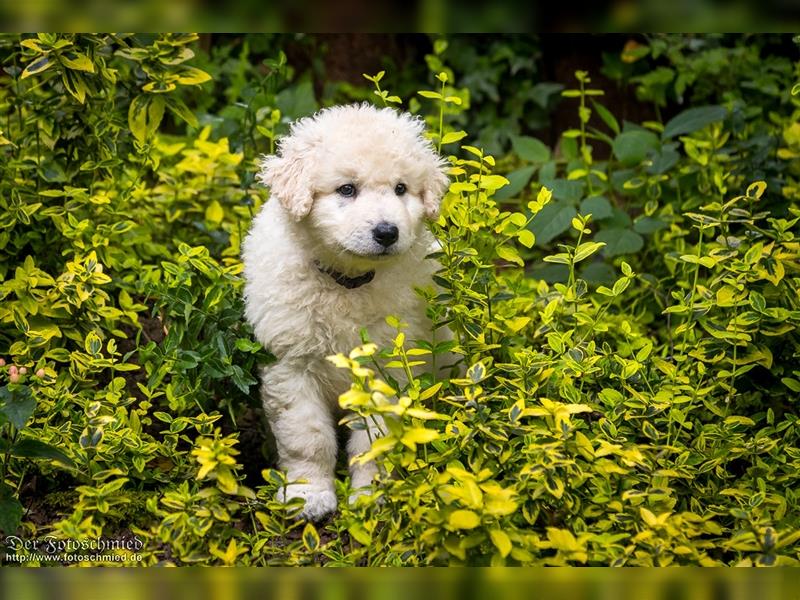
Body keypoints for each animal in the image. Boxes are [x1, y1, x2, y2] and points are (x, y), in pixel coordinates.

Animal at [241, 103, 450, 520]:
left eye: (401, 189)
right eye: (347, 189)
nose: (387, 232)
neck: (346, 283)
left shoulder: (385, 369)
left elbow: (374, 441)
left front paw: (372, 497)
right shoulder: (291, 364)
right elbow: (307, 438)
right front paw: (308, 494)